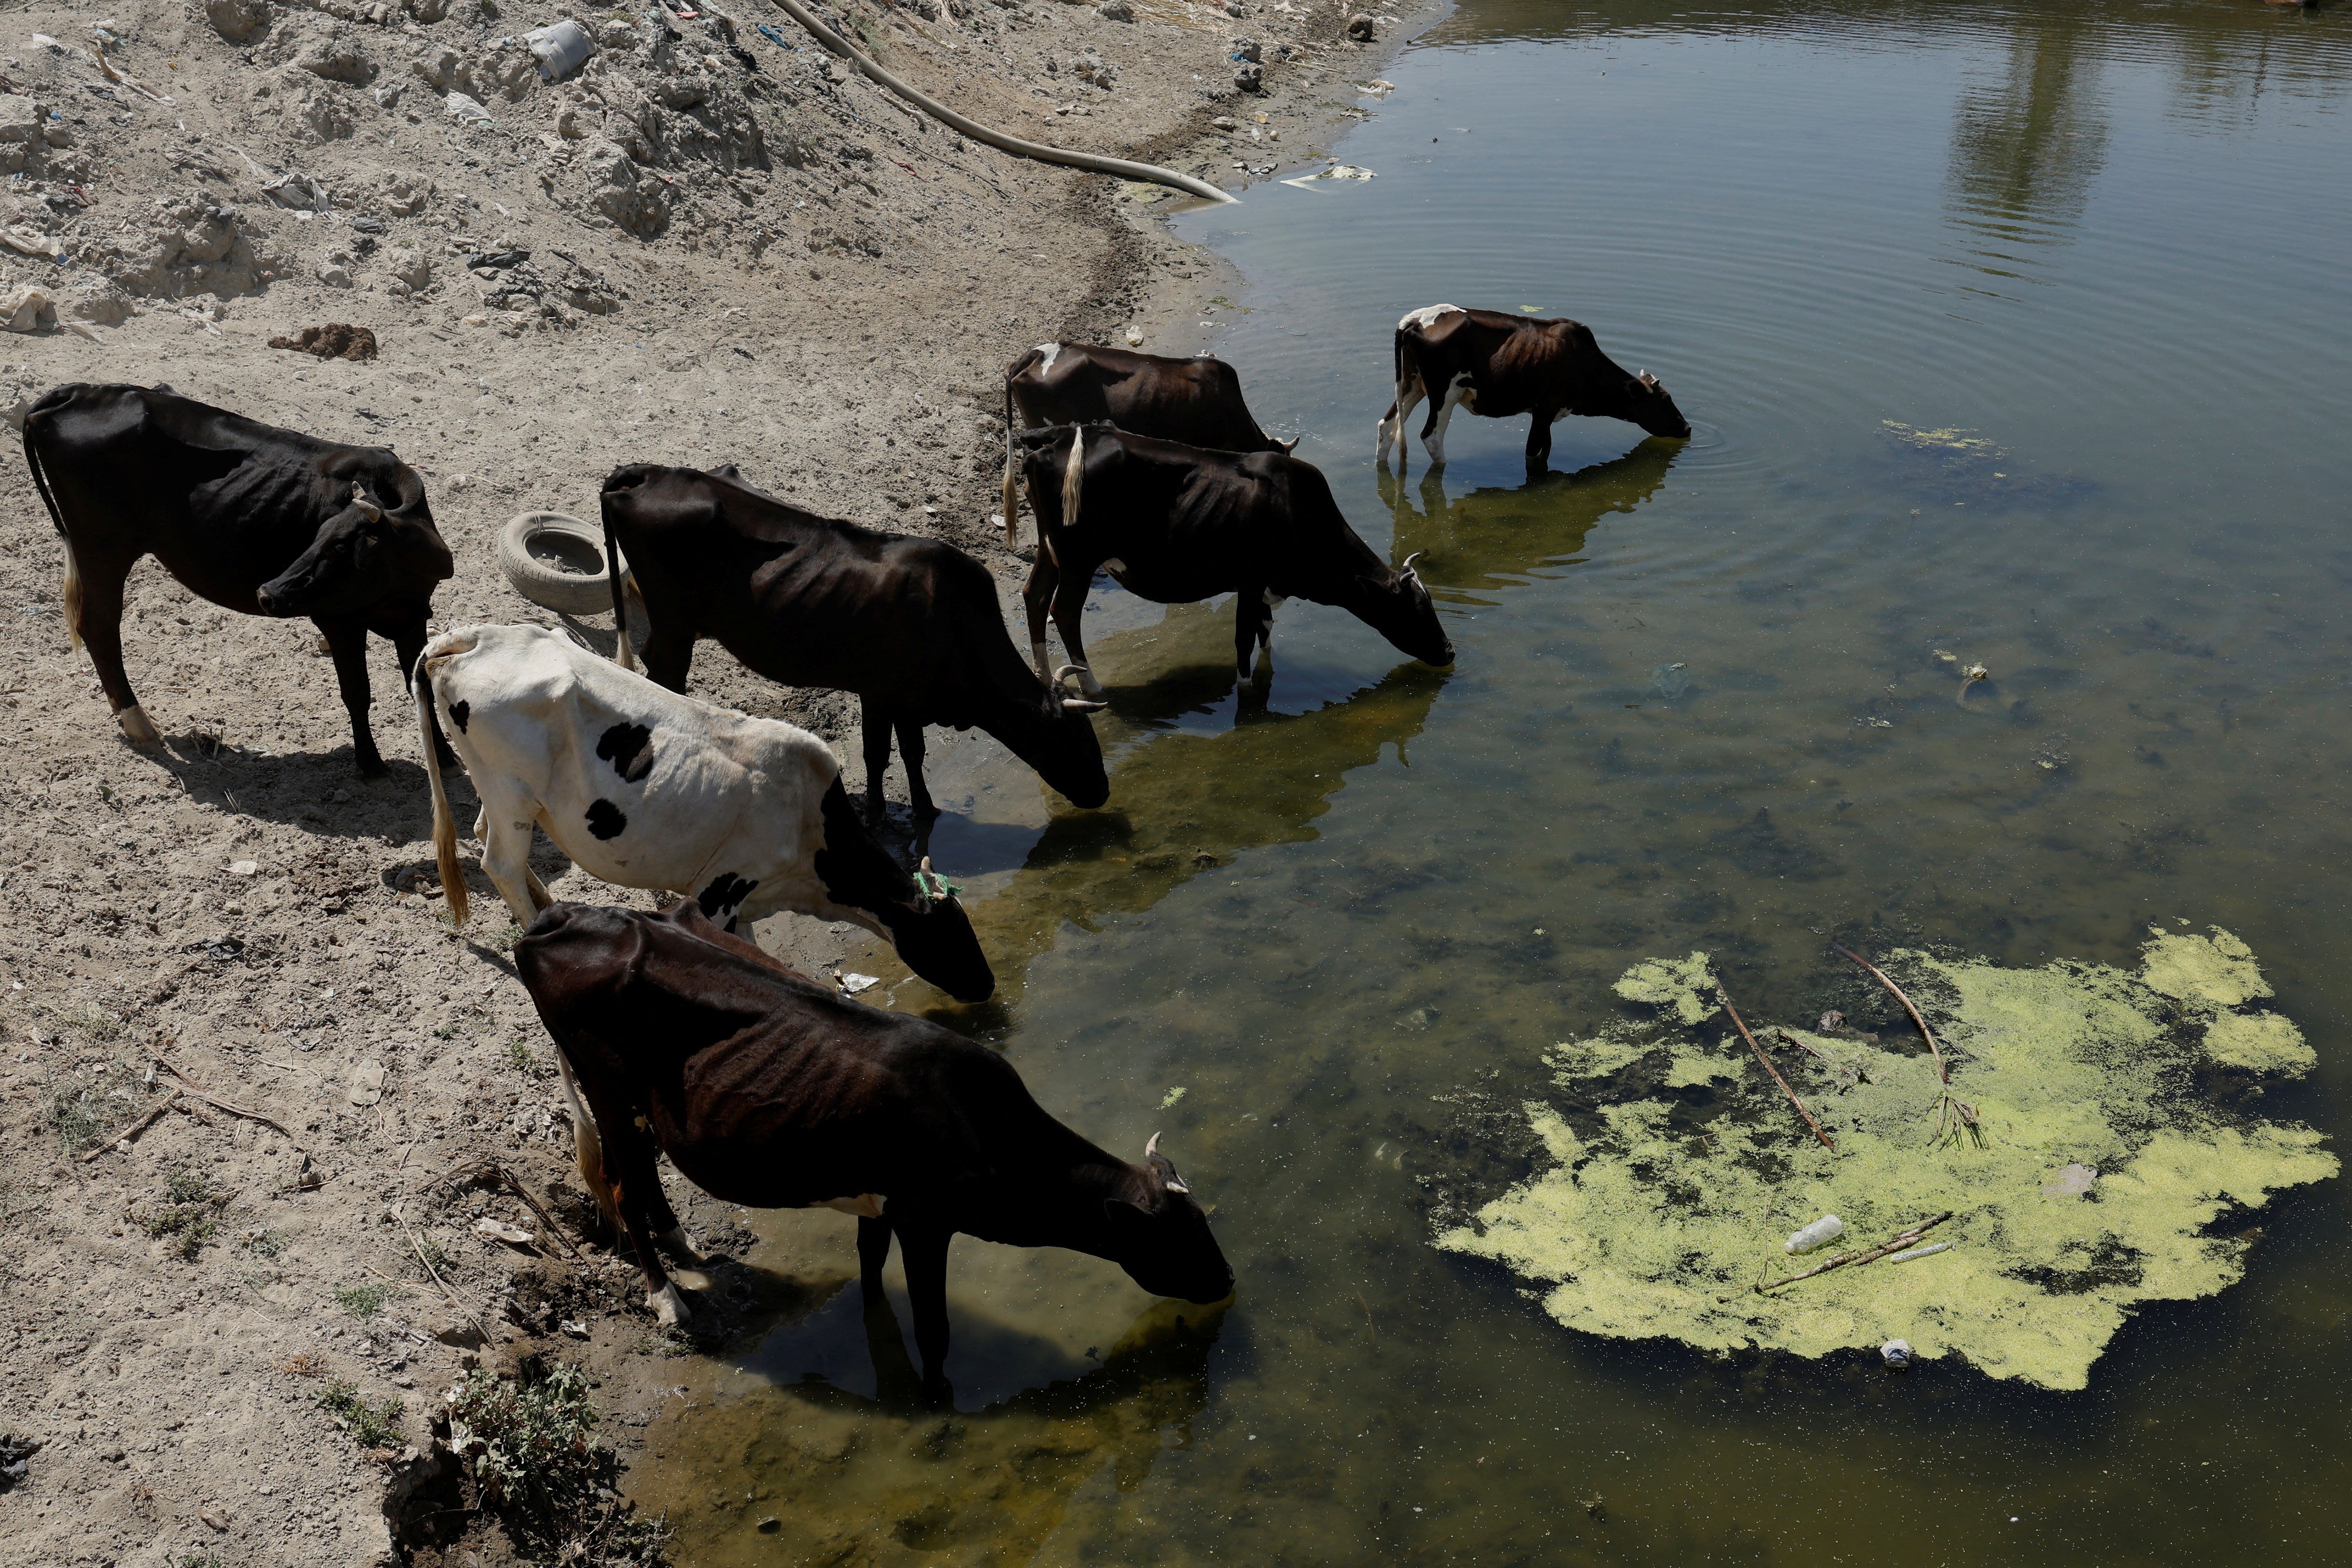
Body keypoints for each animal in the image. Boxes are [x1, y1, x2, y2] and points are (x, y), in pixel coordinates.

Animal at [19, 381, 454, 771]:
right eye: (319, 537)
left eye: (341, 547)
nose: (267, 593)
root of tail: (78, 391)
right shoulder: (340, 620)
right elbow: (357, 693)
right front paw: (371, 765)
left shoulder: (412, 615)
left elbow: (422, 685)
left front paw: (446, 758)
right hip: (102, 548)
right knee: (100, 628)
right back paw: (140, 725)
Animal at [414, 620, 992, 1006]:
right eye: (949, 935)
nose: (988, 985)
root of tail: (473, 636)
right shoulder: (720, 890)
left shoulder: (747, 901)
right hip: (509, 789)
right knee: (500, 864)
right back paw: (539, 925)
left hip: (504, 793)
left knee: (483, 831)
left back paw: (552, 906)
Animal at [1373, 305, 1693, 472]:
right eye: (1664, 402)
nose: (1688, 427)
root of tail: (1417, 318)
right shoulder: (1545, 410)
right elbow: (1533, 453)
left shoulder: (1548, 414)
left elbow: (1545, 450)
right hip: (1444, 394)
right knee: (1431, 436)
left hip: (1412, 384)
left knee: (1388, 425)